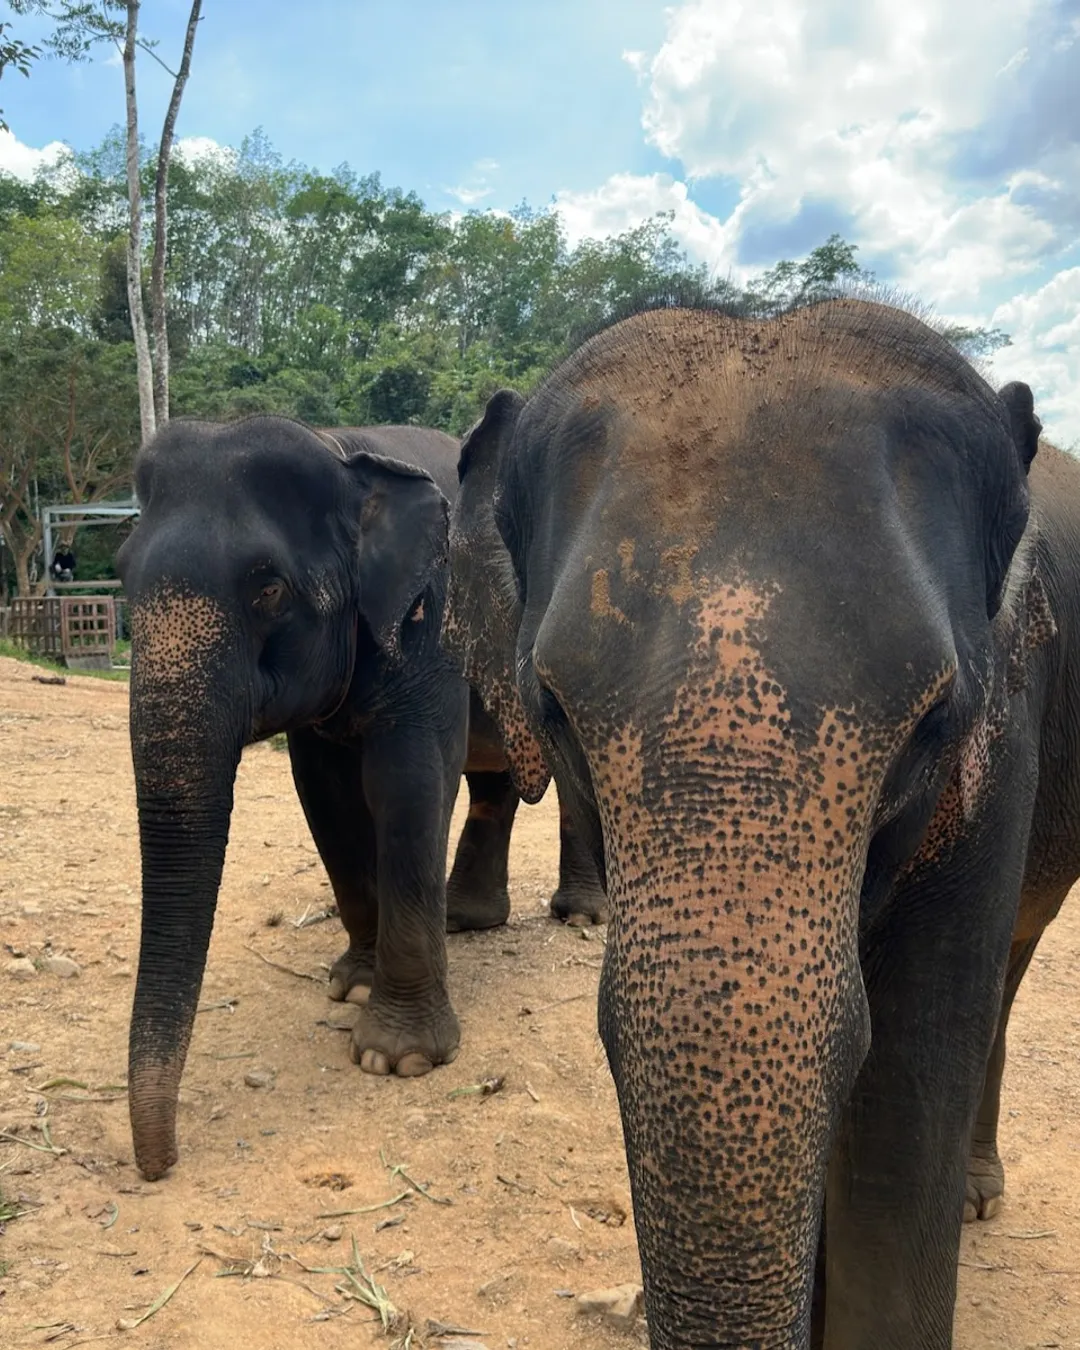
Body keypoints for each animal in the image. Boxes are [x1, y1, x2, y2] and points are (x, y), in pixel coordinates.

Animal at [118, 413, 607, 1182]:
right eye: (119, 573)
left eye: (268, 590)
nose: (158, 1164)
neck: (343, 449)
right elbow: (327, 794)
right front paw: (350, 982)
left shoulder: (431, 617)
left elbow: (408, 780)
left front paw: (396, 1057)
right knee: (492, 781)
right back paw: (467, 919)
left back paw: (582, 915)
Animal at [442, 298, 1080, 1350]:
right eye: (554, 711)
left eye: (932, 724)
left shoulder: (1002, 741)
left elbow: (906, 1099)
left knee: (1009, 970)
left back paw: (976, 1195)